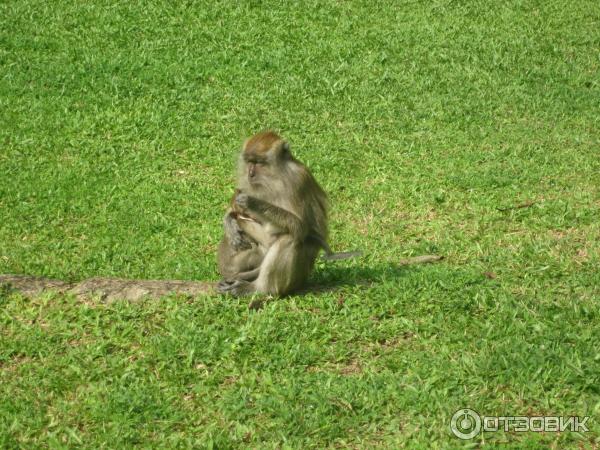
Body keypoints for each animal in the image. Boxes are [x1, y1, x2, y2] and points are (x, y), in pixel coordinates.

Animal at [218, 130, 358, 296]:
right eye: (249, 161)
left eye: (259, 162)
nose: (250, 173)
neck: (275, 176)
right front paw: (229, 222)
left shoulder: (297, 180)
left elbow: (300, 227)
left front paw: (252, 202)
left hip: (297, 276)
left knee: (289, 238)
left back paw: (259, 288)